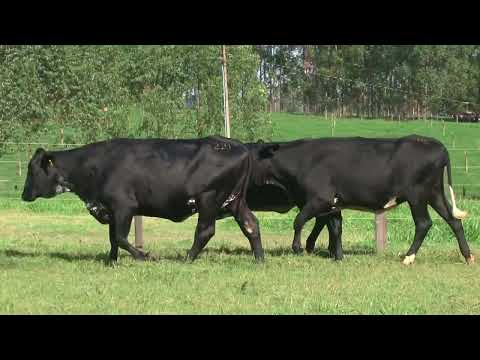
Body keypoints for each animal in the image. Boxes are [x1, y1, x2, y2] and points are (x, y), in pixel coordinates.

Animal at [21, 136, 274, 262]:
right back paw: (259, 259)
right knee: (251, 225)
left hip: (210, 199)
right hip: (235, 201)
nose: (24, 194)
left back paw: (187, 259)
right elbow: (113, 239)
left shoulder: (124, 206)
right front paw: (111, 261)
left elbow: (121, 237)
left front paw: (144, 255)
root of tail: (239, 146)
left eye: (33, 170)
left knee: (205, 231)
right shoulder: (111, 209)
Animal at [251, 135, 476, 264]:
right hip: (434, 193)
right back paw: (468, 256)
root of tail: (436, 144)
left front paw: (297, 247)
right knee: (454, 221)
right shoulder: (333, 204)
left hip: (417, 196)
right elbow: (335, 228)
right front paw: (338, 257)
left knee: (423, 223)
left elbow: (299, 220)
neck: (302, 160)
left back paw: (408, 257)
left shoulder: (319, 199)